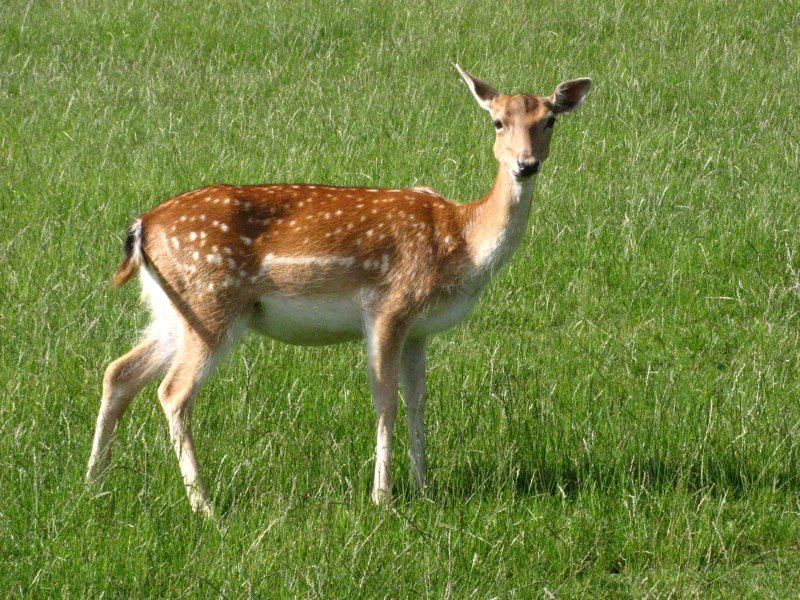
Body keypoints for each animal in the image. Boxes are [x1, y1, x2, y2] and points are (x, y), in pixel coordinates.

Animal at [87, 67, 592, 516]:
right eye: (497, 121)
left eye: (549, 119)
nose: (526, 165)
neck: (463, 242)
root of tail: (141, 227)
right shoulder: (389, 308)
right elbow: (386, 401)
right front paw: (383, 498)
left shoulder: (420, 329)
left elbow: (419, 401)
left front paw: (426, 489)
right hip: (210, 300)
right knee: (173, 392)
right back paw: (204, 505)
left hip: (174, 310)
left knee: (120, 371)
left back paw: (95, 483)